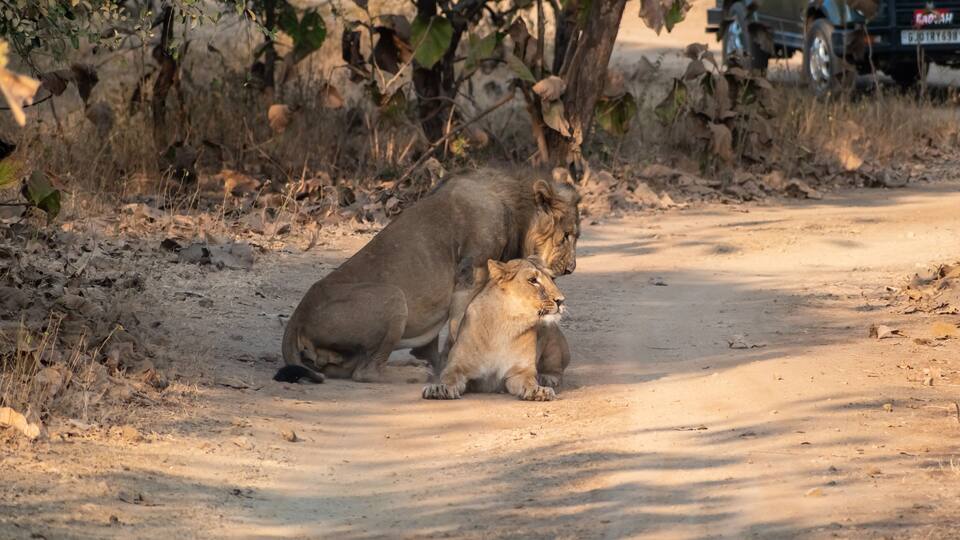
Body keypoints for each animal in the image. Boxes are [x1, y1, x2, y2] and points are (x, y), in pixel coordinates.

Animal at [274, 167, 580, 385]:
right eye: (567, 235)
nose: (570, 268)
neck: (515, 206)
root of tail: (297, 316)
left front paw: (435, 361)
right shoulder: (472, 270)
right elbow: (458, 327)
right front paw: (447, 367)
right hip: (393, 297)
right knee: (366, 372)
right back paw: (414, 373)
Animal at [422, 258, 565, 401]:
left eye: (552, 278)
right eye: (532, 280)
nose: (561, 300)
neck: (506, 322)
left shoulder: (520, 371)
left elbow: (529, 381)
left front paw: (539, 390)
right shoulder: (457, 367)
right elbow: (449, 378)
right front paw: (439, 389)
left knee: (557, 369)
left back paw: (546, 378)